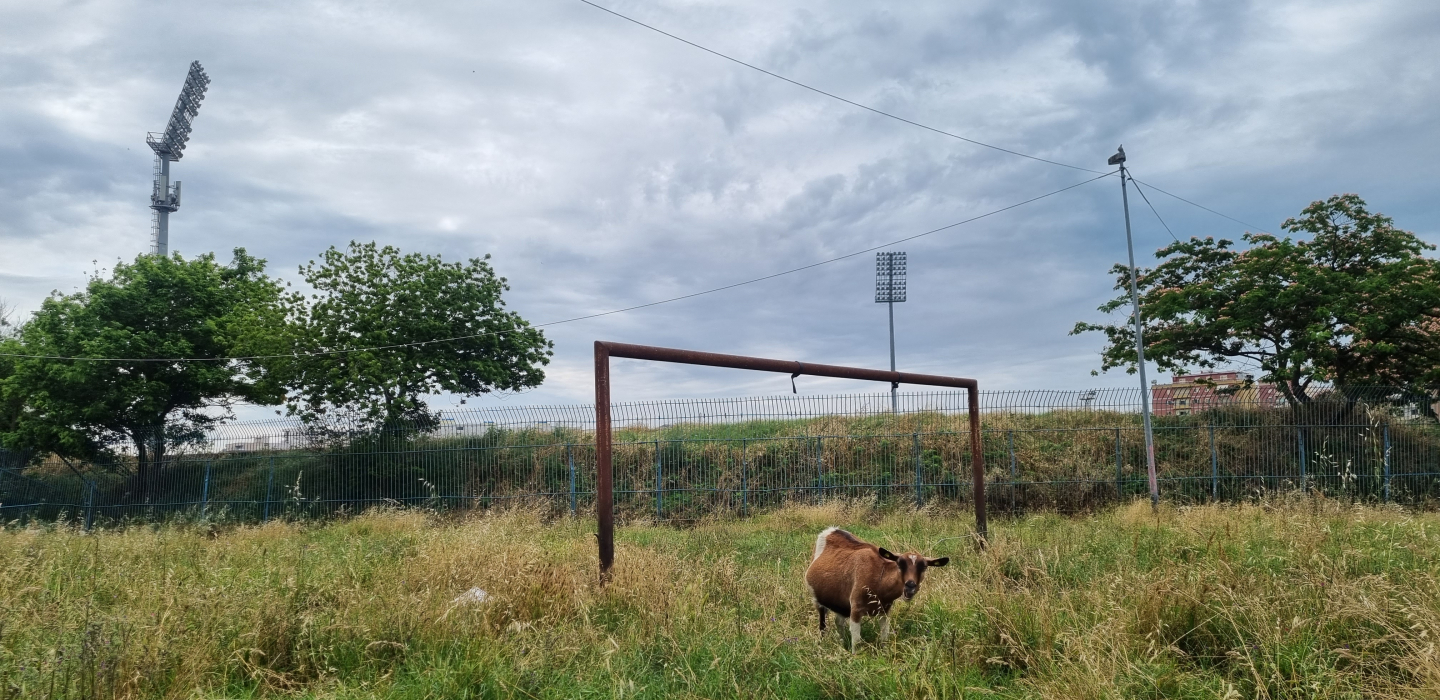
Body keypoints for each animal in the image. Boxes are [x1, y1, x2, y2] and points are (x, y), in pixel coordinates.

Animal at [806, 524, 950, 651]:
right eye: (899, 563)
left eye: (924, 567)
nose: (910, 586)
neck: (879, 578)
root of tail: (831, 530)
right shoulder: (856, 609)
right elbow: (856, 641)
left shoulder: (885, 610)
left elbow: (884, 636)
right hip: (818, 601)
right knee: (822, 625)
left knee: (839, 622)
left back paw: (842, 642)